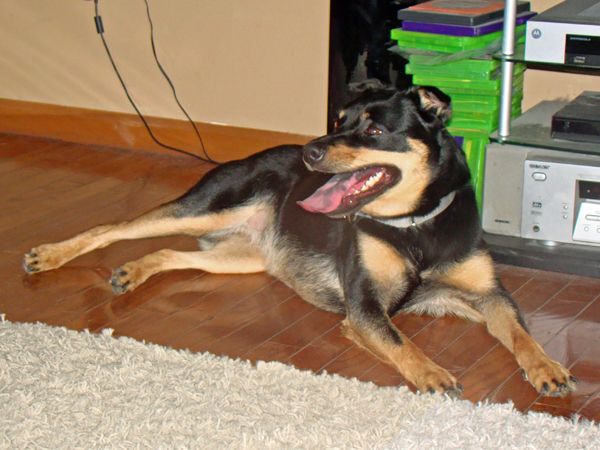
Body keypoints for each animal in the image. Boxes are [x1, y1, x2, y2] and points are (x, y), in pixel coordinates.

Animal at [22, 84, 576, 398]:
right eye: (339, 122)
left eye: (373, 130)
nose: (311, 150)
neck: (415, 223)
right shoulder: (365, 308)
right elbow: (403, 343)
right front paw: (433, 375)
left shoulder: (486, 295)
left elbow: (521, 333)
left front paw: (548, 368)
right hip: (208, 207)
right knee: (113, 228)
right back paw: (49, 255)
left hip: (243, 255)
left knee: (166, 253)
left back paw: (132, 271)